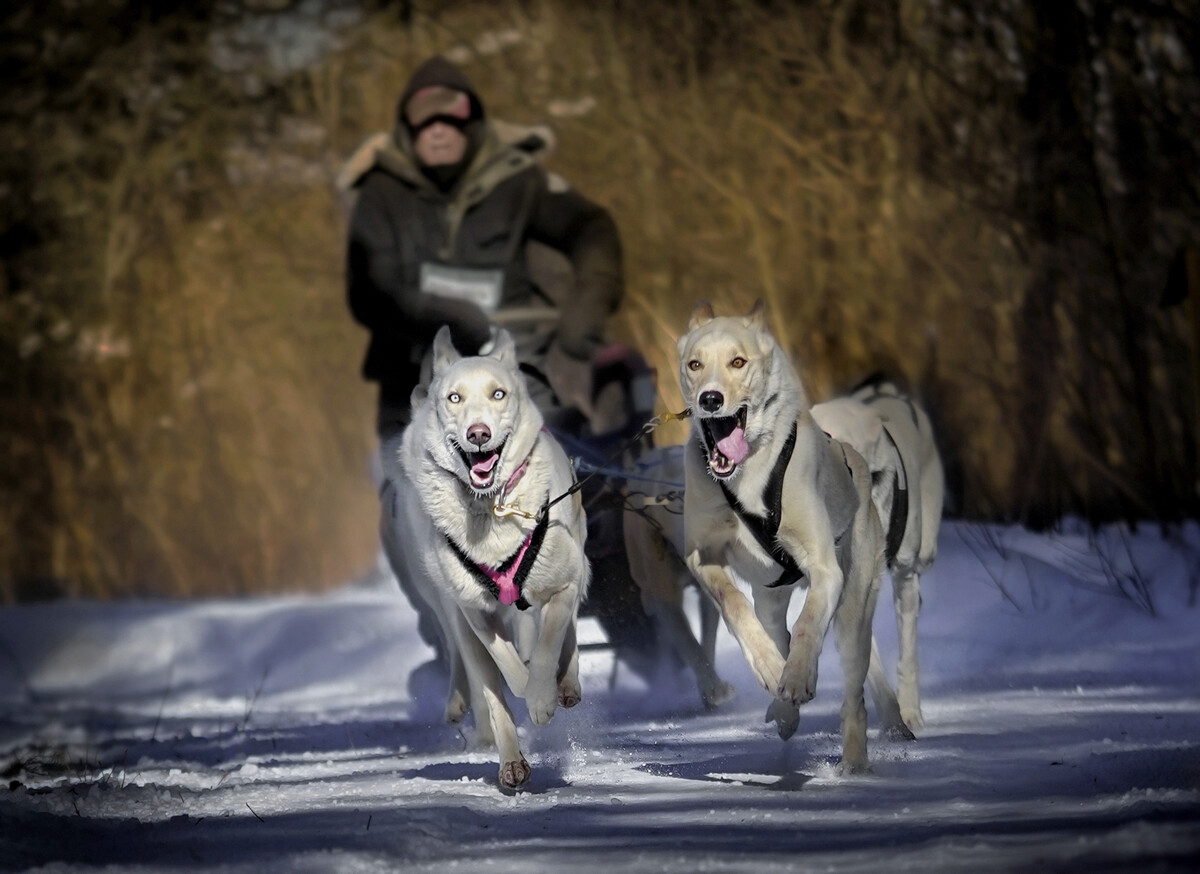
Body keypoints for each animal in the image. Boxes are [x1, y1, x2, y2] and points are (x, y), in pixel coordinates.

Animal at [396, 326, 588, 792]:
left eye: (498, 394)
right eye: (454, 398)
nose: (478, 433)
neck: (490, 508)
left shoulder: (561, 586)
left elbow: (548, 646)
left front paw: (542, 695)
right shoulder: (474, 612)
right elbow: (503, 667)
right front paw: (525, 689)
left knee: (568, 632)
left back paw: (565, 685)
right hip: (452, 612)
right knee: (483, 677)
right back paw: (510, 761)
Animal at [681, 302, 897, 773]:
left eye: (738, 362)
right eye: (694, 364)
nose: (710, 399)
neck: (748, 478)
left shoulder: (824, 569)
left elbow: (808, 624)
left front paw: (798, 677)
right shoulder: (701, 555)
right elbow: (733, 604)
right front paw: (769, 669)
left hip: (853, 612)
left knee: (853, 693)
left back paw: (853, 762)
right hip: (770, 600)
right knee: (771, 626)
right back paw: (783, 707)